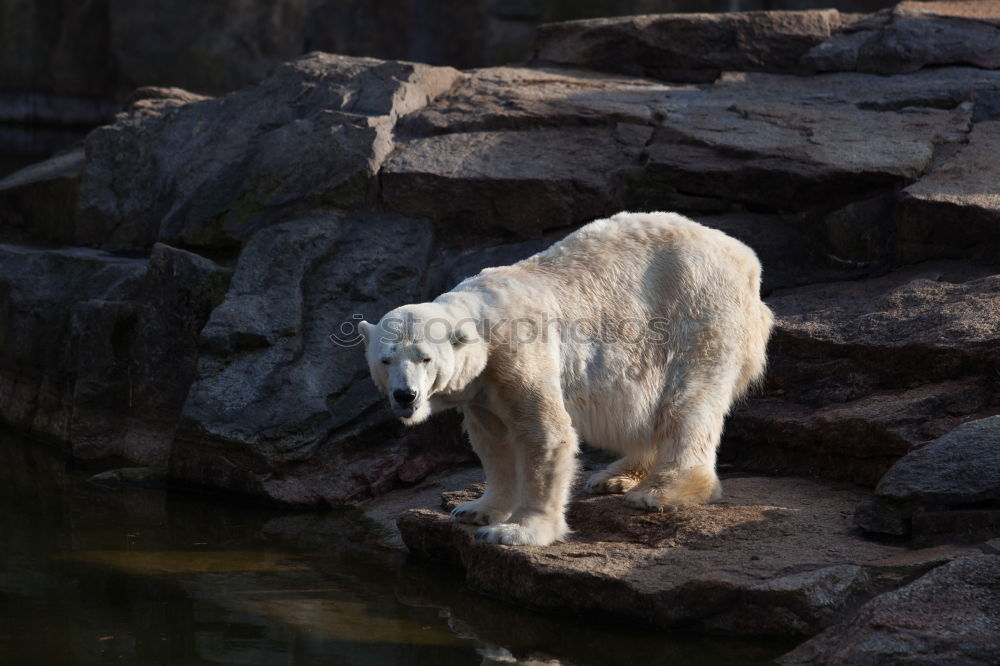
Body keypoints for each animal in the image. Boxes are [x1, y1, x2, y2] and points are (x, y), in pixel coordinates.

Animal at [360, 211, 772, 544]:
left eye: (425, 358)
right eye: (385, 360)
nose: (405, 395)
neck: (482, 322)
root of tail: (745, 258)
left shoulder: (518, 354)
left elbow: (545, 434)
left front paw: (516, 531)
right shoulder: (480, 389)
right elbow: (493, 442)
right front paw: (475, 509)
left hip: (697, 314)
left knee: (688, 404)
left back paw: (660, 491)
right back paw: (615, 475)